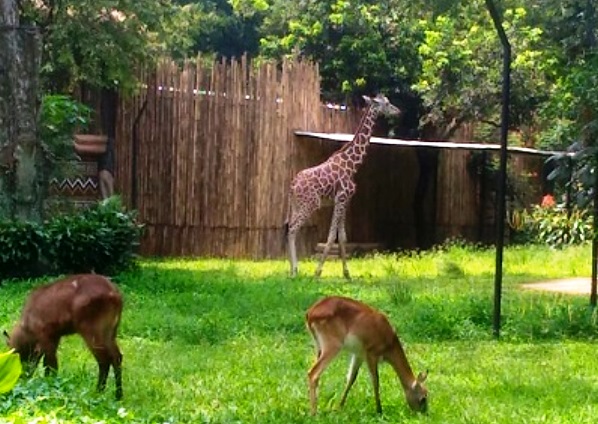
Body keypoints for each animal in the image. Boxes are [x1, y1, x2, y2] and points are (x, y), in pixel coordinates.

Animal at [288, 93, 404, 278]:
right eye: (386, 103)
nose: (398, 111)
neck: (352, 165)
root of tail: (292, 186)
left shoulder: (346, 200)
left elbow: (342, 236)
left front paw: (347, 273)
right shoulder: (341, 198)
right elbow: (331, 236)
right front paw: (318, 272)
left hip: (296, 205)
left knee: (290, 228)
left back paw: (292, 269)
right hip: (310, 204)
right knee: (293, 228)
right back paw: (294, 271)